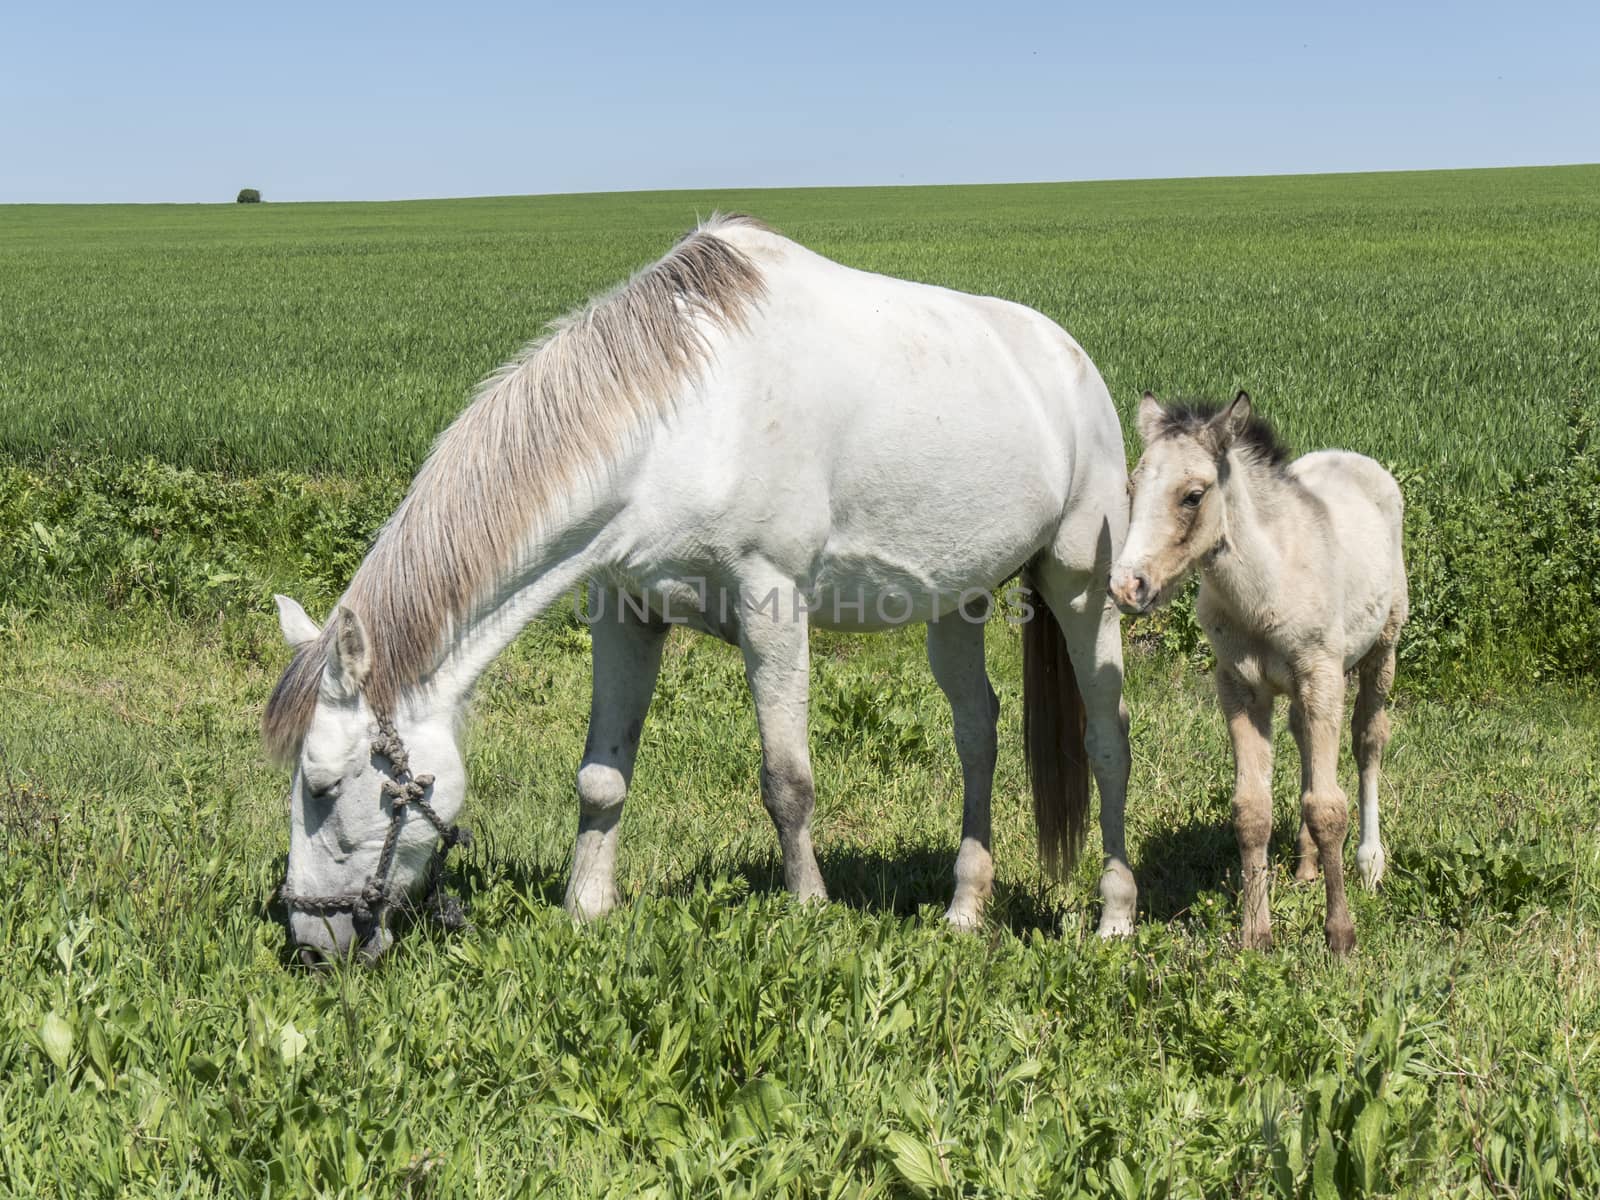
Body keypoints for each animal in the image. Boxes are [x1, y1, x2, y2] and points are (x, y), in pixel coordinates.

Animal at [265, 219, 1139, 966]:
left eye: (324, 786)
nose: (310, 943)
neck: (683, 422)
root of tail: (1073, 359)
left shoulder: (771, 605)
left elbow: (787, 781)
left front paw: (809, 908)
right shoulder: (625, 612)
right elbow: (602, 776)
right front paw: (587, 907)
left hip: (1082, 586)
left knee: (1107, 736)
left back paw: (1115, 915)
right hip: (957, 599)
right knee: (977, 733)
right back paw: (965, 908)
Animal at [1107, 395, 1408, 960]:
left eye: (1193, 495)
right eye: (1133, 488)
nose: (1126, 586)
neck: (1266, 586)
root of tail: (1353, 457)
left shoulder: (1322, 675)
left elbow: (1328, 807)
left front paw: (1340, 936)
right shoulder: (1240, 687)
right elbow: (1252, 810)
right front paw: (1255, 934)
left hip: (1383, 647)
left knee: (1368, 741)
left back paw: (1370, 863)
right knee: (1306, 745)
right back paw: (1306, 867)